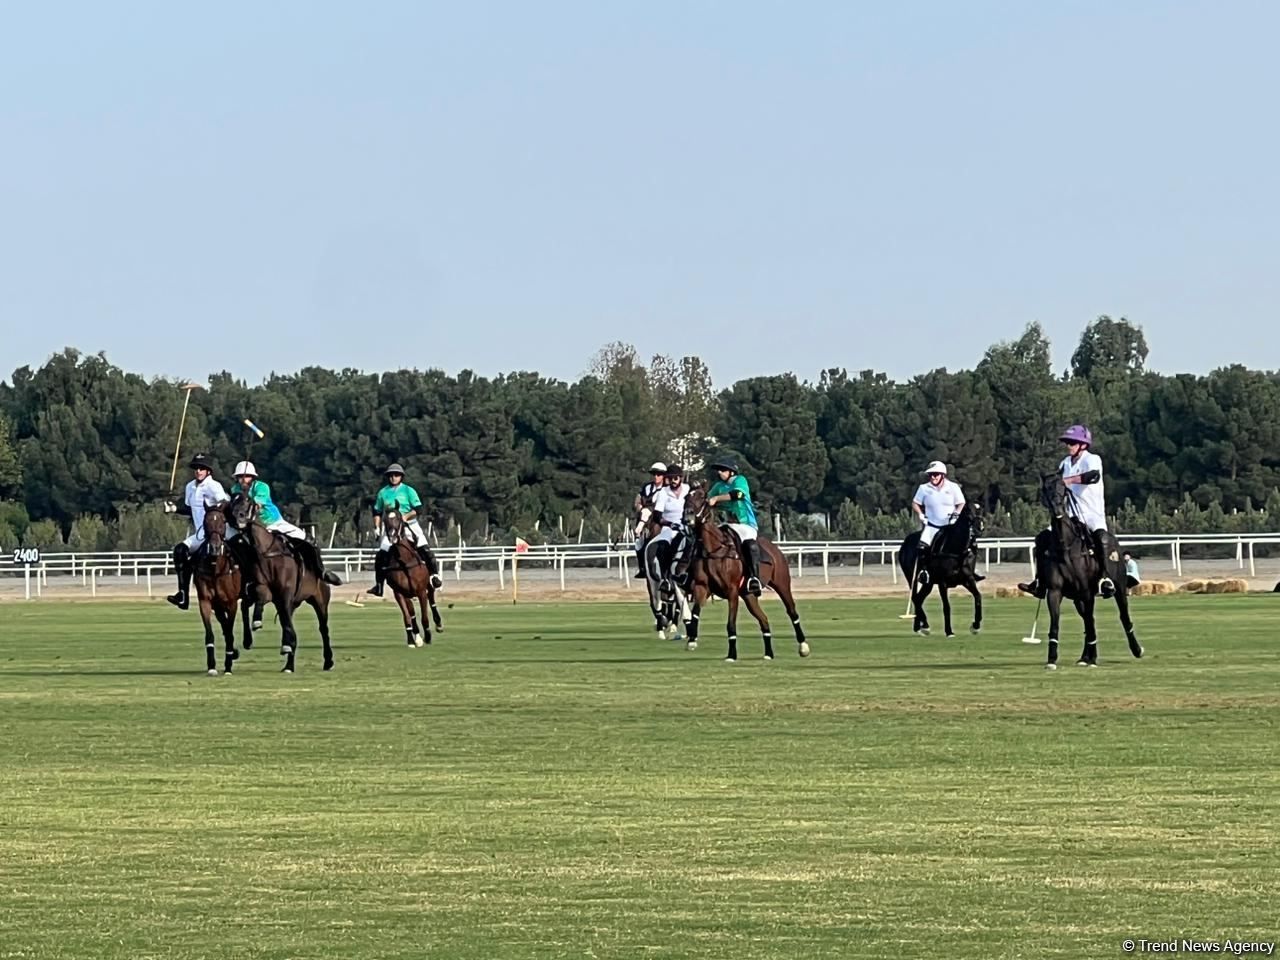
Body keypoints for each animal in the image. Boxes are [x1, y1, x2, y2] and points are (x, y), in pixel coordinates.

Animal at [378, 506, 445, 650]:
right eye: (385, 520)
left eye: (399, 518)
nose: (392, 537)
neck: (404, 561)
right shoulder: (399, 593)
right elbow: (408, 616)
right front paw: (411, 640)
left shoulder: (421, 592)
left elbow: (424, 616)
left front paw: (428, 636)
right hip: (409, 594)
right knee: (412, 612)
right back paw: (417, 637)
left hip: (429, 585)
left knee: (432, 601)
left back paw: (438, 625)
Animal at [680, 488, 808, 660]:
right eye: (686, 497)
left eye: (702, 497)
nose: (687, 517)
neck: (713, 549)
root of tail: (775, 548)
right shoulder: (702, 587)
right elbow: (695, 612)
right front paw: (692, 640)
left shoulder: (732, 591)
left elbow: (731, 623)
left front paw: (732, 655)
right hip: (749, 596)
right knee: (764, 619)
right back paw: (768, 653)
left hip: (782, 584)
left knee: (792, 611)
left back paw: (803, 646)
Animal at [896, 504, 983, 640]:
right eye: (968, 511)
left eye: (981, 509)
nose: (980, 527)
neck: (958, 553)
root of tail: (905, 542)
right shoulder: (943, 583)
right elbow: (946, 606)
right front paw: (949, 632)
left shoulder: (968, 580)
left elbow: (978, 597)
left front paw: (975, 626)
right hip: (912, 577)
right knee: (915, 597)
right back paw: (924, 626)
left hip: (929, 583)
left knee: (919, 599)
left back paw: (920, 627)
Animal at [1024, 473, 1146, 670]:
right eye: (1045, 489)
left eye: (1063, 488)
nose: (1057, 510)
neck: (1065, 546)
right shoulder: (1055, 592)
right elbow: (1056, 624)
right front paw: (1052, 659)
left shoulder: (1087, 591)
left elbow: (1090, 623)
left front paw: (1094, 659)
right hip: (1077, 598)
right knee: (1089, 622)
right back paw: (1084, 657)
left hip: (1119, 587)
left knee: (1122, 616)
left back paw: (1136, 650)